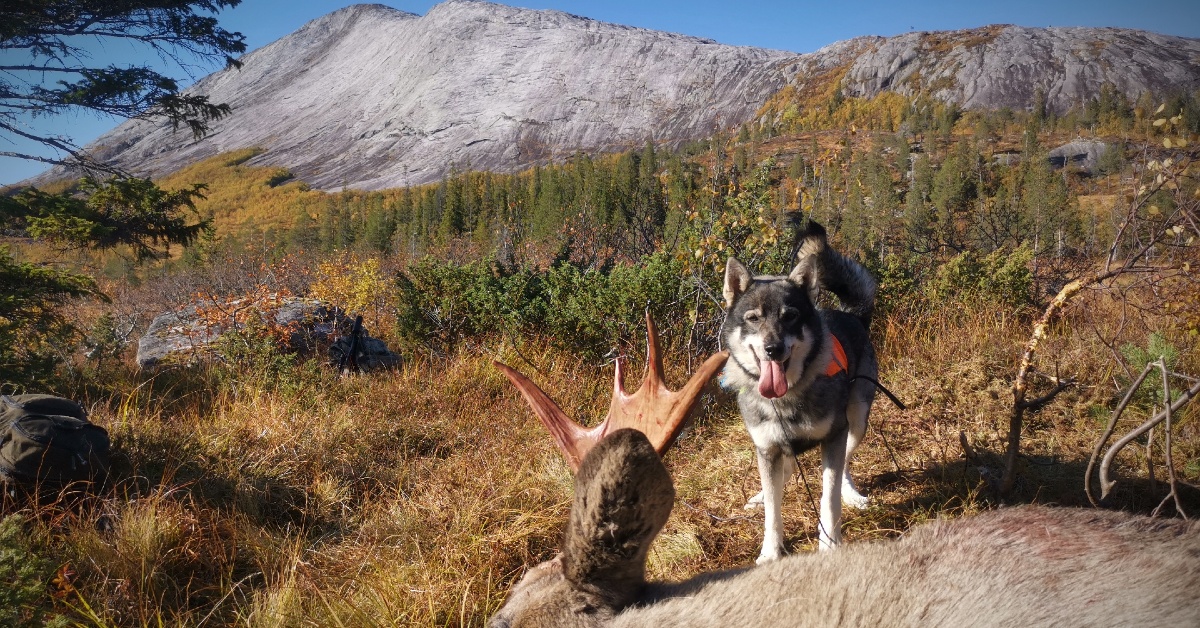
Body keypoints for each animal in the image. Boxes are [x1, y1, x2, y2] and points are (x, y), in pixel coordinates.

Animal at [720, 219, 883, 559]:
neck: (786, 398)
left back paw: (853, 495)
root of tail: (851, 314)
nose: (773, 349)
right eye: (753, 318)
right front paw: (770, 552)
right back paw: (760, 496)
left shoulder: (835, 437)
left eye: (790, 316)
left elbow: (829, 498)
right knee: (783, 474)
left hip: (857, 420)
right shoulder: (767, 448)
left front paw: (830, 544)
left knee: (845, 465)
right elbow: (773, 509)